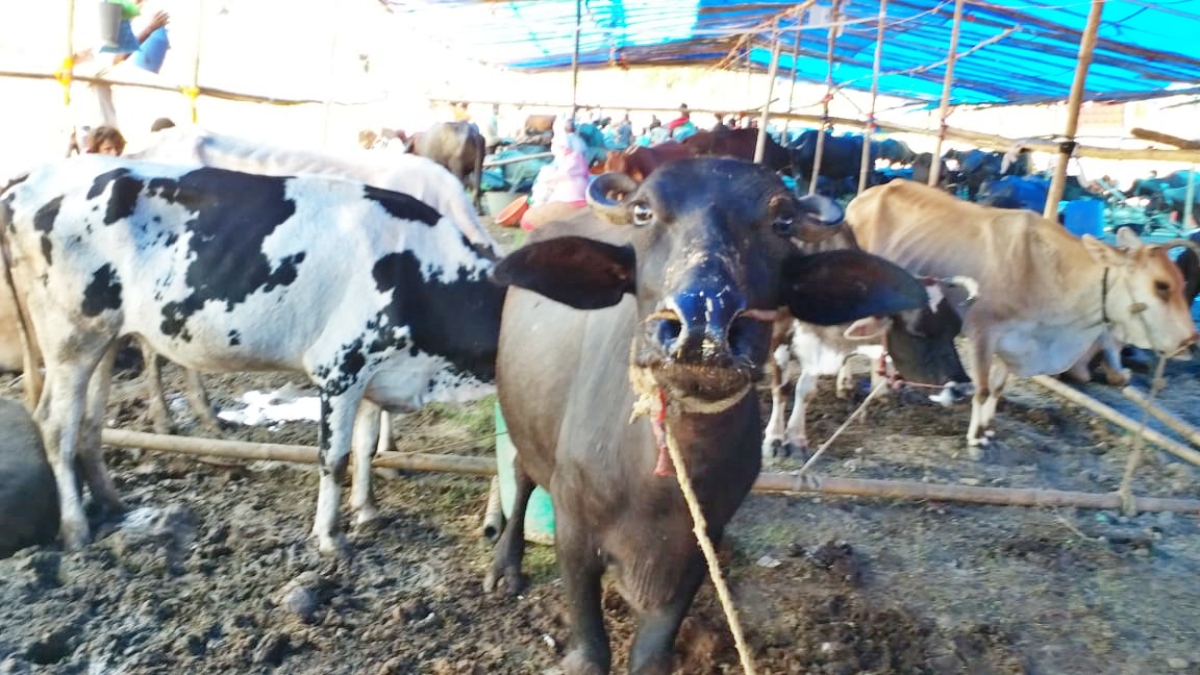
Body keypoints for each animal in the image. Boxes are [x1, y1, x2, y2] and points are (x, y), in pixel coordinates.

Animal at [482, 158, 921, 672]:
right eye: (643, 212)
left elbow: (651, 656)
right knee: (520, 474)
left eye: (782, 221)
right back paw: (504, 567)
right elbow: (591, 651)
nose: (704, 326)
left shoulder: (698, 546)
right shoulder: (574, 536)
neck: (655, 488)